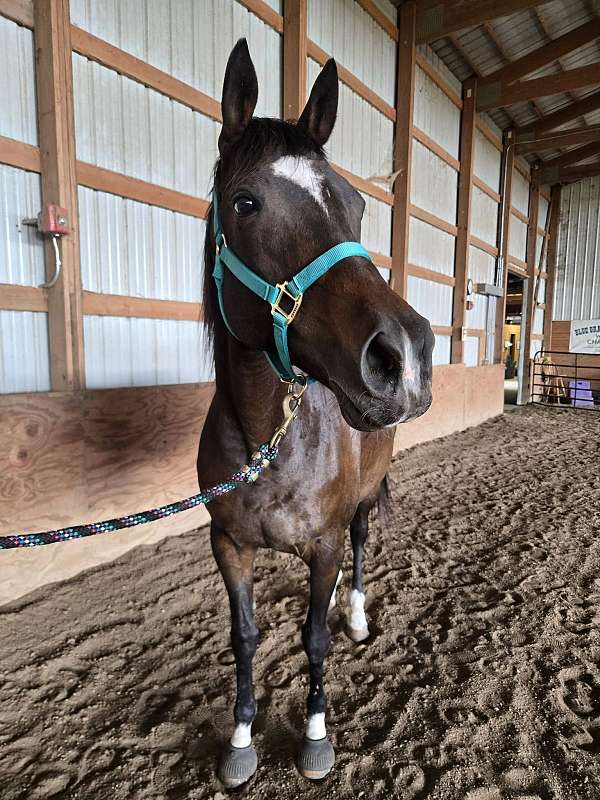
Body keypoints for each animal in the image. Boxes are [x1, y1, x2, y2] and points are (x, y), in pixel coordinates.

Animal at [198, 38, 434, 788]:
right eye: (245, 202)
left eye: (356, 204)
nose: (404, 355)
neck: (266, 441)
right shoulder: (228, 544)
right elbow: (245, 637)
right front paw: (241, 738)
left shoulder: (325, 540)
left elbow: (314, 637)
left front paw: (316, 735)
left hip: (361, 501)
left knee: (359, 551)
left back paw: (354, 614)